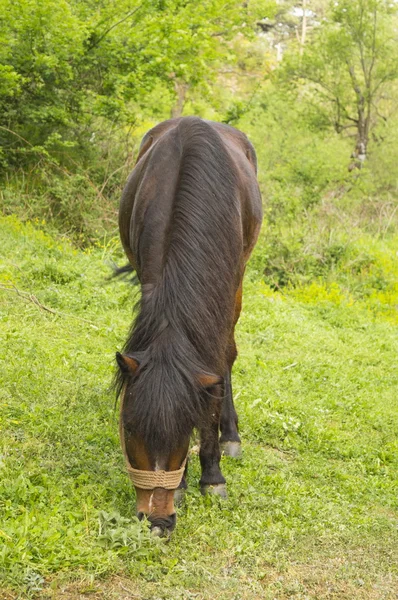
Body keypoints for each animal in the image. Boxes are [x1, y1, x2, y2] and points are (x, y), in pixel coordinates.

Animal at [113, 116, 262, 536]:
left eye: (185, 429)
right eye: (130, 428)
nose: (158, 520)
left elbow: (218, 369)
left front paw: (212, 475)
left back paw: (231, 434)